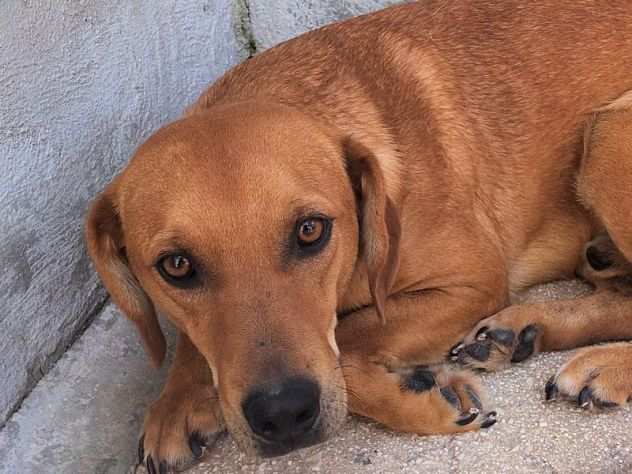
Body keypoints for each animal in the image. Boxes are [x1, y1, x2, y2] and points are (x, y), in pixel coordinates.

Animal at [85, 1, 632, 472]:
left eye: (310, 231)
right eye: (176, 266)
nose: (282, 416)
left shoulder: (472, 283)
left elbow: (348, 338)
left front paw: (417, 398)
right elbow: (194, 341)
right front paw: (177, 400)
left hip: (607, 133)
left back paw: (604, 366)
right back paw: (524, 328)